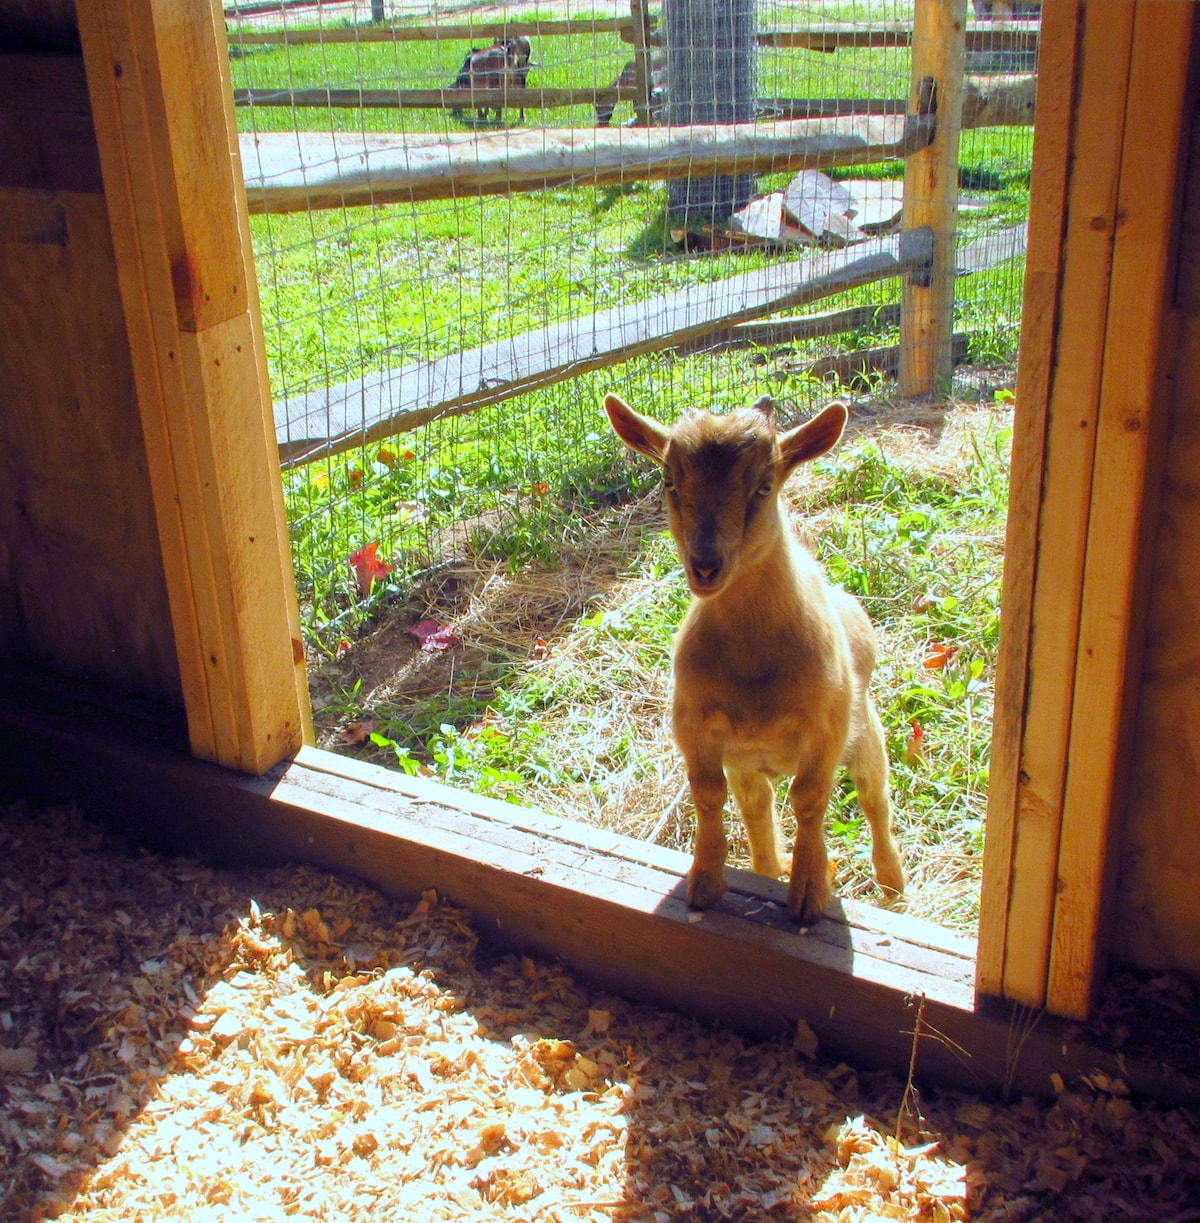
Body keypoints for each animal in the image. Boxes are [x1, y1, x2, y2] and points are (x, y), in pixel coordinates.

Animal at [604, 396, 905, 919]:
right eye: (669, 481)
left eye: (765, 486)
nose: (705, 565)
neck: (754, 662)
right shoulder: (694, 725)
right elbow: (707, 795)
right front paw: (705, 884)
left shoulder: (827, 728)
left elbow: (810, 799)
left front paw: (808, 894)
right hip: (748, 763)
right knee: (757, 809)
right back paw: (768, 870)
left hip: (865, 729)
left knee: (875, 797)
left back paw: (892, 886)